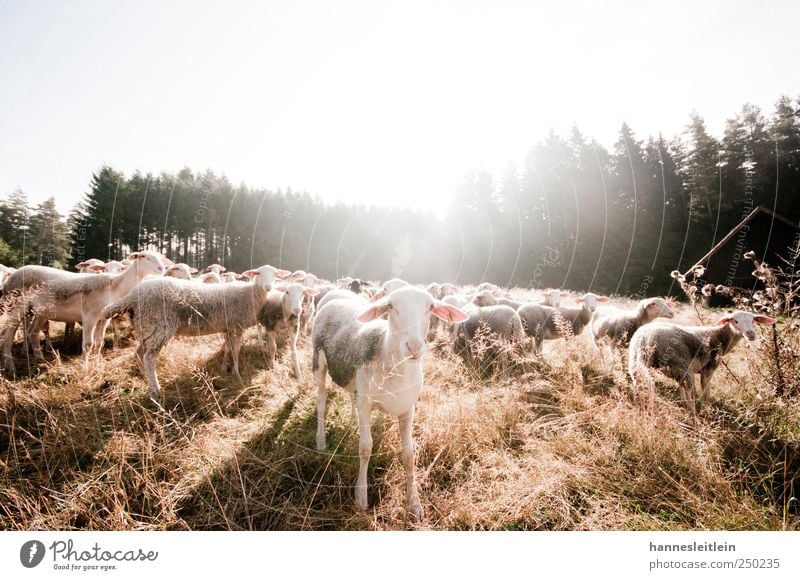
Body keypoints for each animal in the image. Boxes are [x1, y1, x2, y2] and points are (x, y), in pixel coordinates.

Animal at [1, 250, 167, 372]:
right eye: (143, 256)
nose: (162, 268)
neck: (114, 286)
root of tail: (11, 277)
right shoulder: (89, 316)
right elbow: (88, 344)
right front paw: (84, 368)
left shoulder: (104, 319)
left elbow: (99, 343)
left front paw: (97, 365)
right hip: (17, 306)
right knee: (7, 336)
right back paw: (11, 367)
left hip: (41, 312)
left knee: (32, 333)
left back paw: (40, 361)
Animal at [99, 264, 288, 396]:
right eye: (258, 274)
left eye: (274, 275)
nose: (269, 287)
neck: (251, 293)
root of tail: (133, 295)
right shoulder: (236, 326)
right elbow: (236, 351)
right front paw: (236, 374)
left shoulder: (228, 327)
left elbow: (227, 349)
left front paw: (224, 370)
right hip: (159, 325)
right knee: (149, 357)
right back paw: (156, 390)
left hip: (147, 327)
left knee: (139, 353)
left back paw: (146, 379)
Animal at [310, 284, 466, 516]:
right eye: (391, 306)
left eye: (430, 307)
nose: (414, 346)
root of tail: (337, 294)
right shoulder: (366, 403)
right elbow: (365, 448)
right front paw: (361, 497)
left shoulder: (408, 409)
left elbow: (409, 454)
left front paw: (414, 503)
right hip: (318, 361)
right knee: (321, 400)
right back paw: (320, 440)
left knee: (351, 397)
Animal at [632, 310, 776, 424]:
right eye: (735, 321)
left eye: (753, 321)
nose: (751, 334)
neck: (721, 336)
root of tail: (646, 339)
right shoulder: (708, 368)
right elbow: (705, 395)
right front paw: (708, 415)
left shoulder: (679, 374)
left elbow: (682, 394)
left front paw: (686, 408)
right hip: (682, 366)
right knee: (688, 394)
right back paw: (695, 421)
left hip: (637, 363)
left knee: (639, 384)